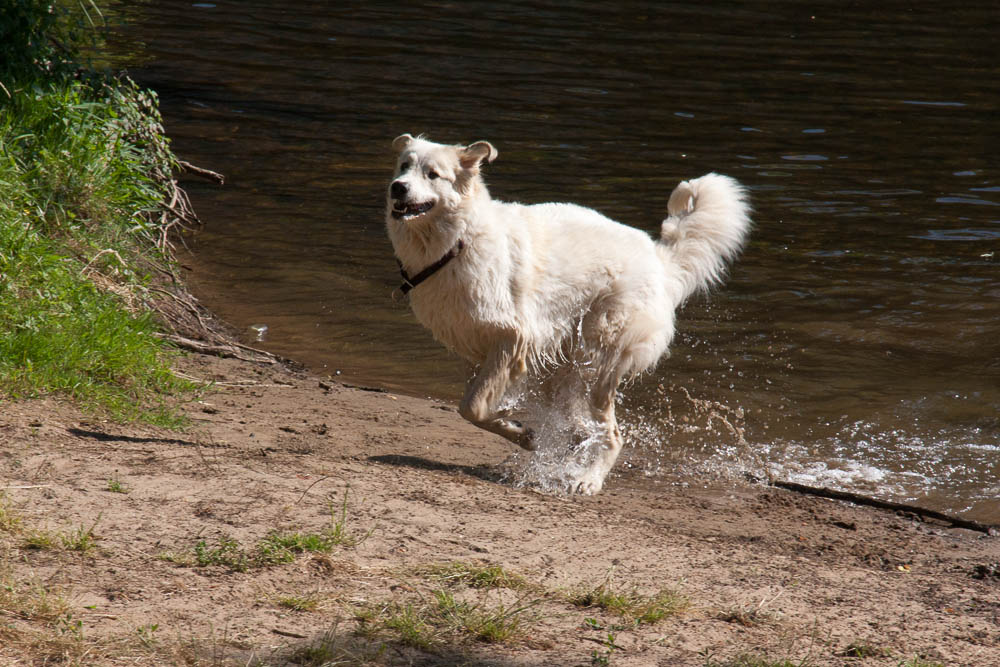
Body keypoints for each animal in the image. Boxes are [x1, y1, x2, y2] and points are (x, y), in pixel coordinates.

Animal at [382, 134, 752, 496]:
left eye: (433, 174)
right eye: (403, 166)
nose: (397, 188)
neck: (457, 241)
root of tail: (660, 258)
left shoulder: (512, 338)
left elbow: (472, 406)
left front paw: (520, 431)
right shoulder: (474, 347)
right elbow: (474, 405)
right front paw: (520, 432)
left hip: (600, 358)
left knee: (611, 434)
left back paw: (589, 479)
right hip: (563, 367)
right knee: (580, 428)